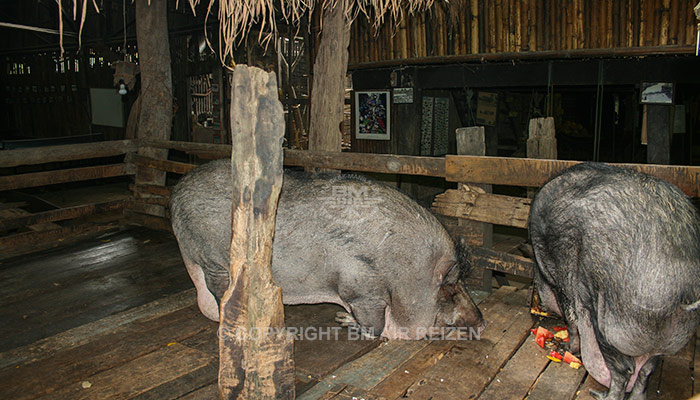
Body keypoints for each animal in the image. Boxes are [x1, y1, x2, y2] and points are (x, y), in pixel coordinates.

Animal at [172, 158, 484, 340]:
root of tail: (176, 195)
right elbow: (375, 326)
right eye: (450, 290)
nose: (482, 323)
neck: (405, 277)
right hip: (213, 259)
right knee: (220, 292)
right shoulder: (360, 287)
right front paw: (344, 320)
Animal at [532, 162, 700, 400]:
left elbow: (572, 320)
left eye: (540, 278)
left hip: (608, 323)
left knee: (623, 371)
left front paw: (569, 350)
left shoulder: (560, 282)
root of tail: (682, 289)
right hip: (668, 339)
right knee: (646, 370)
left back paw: (600, 394)